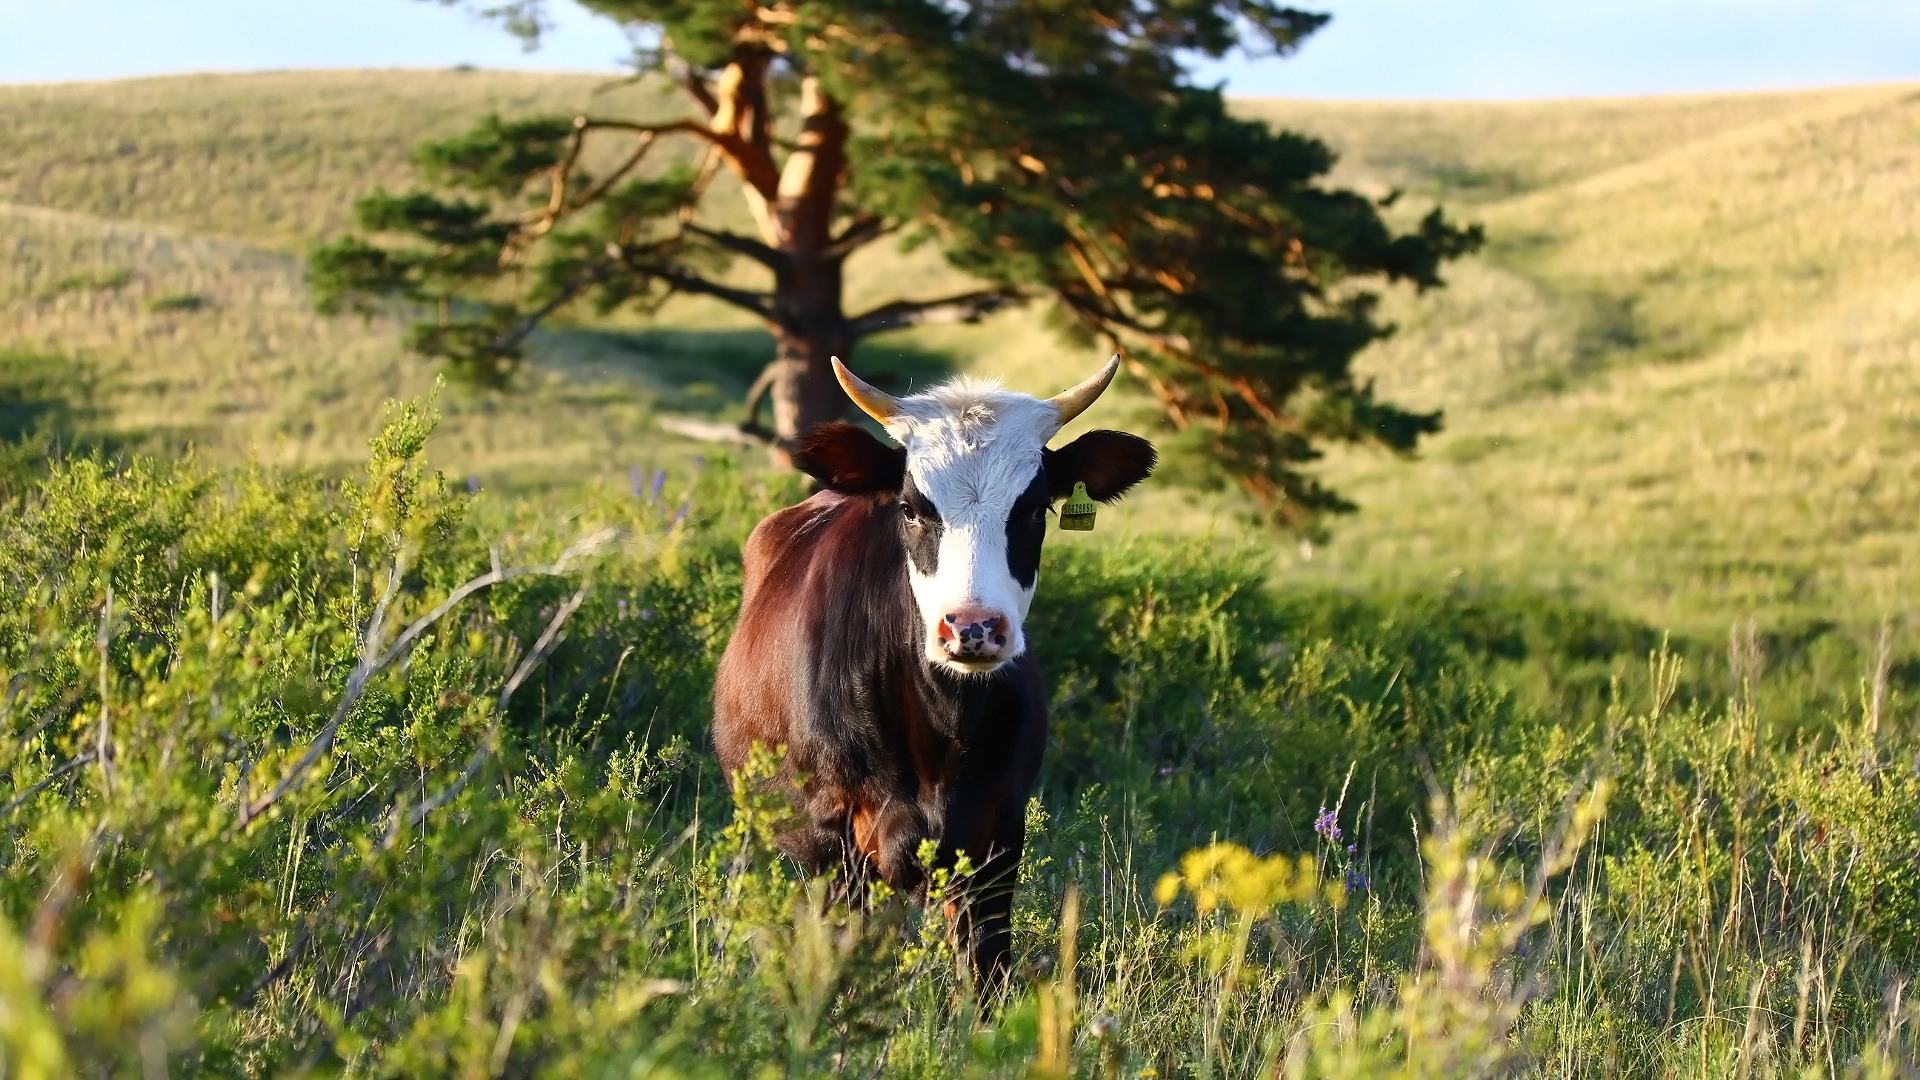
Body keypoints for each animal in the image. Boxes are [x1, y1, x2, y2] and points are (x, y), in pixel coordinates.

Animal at [710, 353, 1144, 991]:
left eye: (1034, 509)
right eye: (913, 509)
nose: (972, 627)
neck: (941, 723)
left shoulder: (997, 833)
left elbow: (984, 968)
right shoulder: (835, 841)